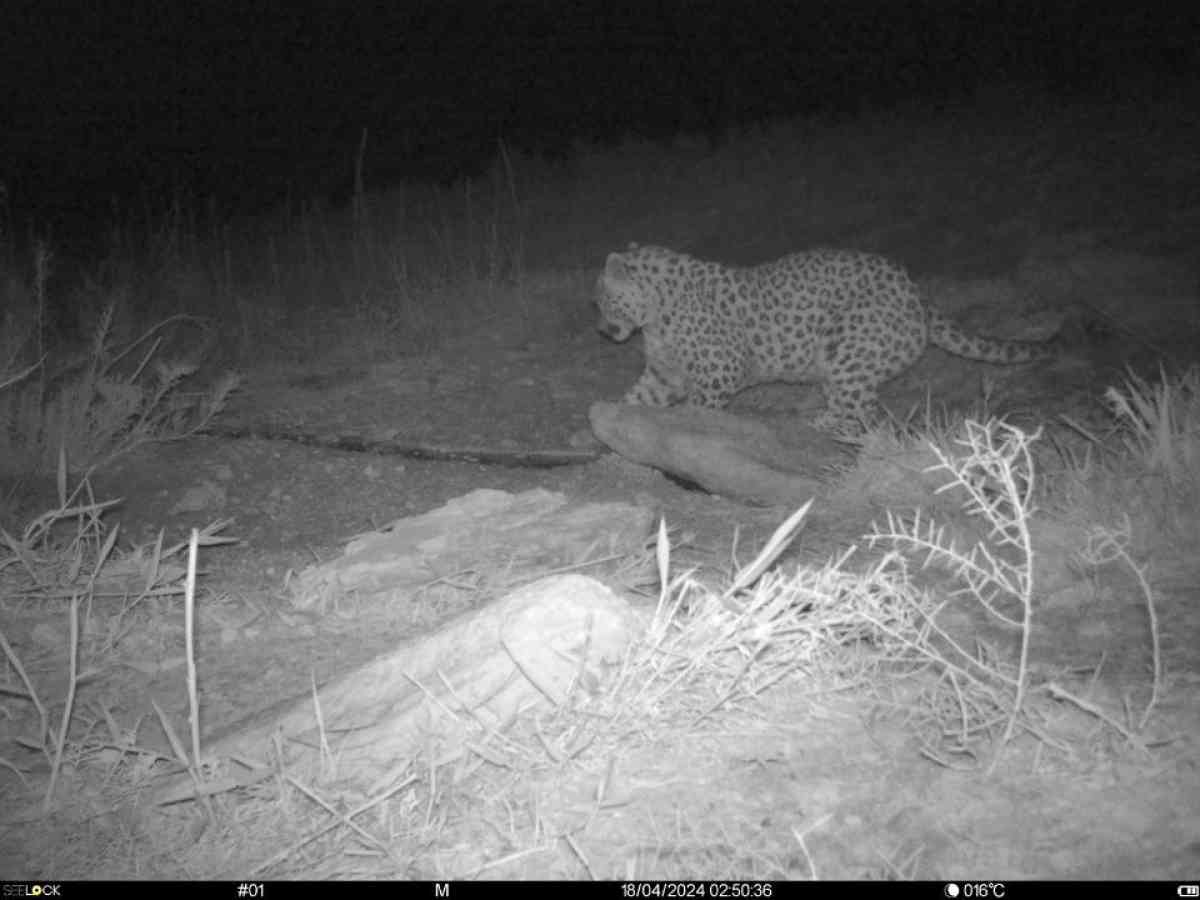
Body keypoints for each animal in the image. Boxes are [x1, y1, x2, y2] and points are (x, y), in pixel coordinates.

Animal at [592, 241, 1060, 434]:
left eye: (604, 301)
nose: (602, 330)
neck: (655, 315)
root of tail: (917, 294)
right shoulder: (664, 374)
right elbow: (638, 397)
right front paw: (611, 419)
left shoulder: (719, 372)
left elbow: (699, 408)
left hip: (849, 352)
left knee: (863, 414)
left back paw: (816, 422)